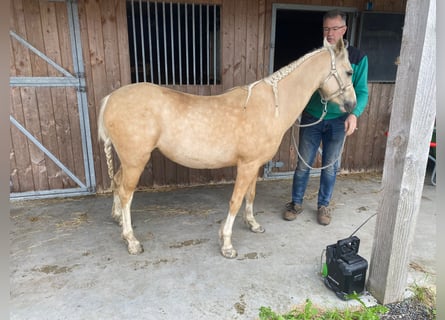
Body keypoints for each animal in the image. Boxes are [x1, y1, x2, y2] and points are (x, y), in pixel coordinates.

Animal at [99, 37, 356, 258]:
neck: (271, 105)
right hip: (136, 161)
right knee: (126, 193)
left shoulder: (254, 165)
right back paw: (132, 241)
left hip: (129, 160)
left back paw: (118, 220)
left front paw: (253, 224)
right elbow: (235, 200)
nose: (352, 105)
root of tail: (111, 98)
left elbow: (250, 195)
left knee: (118, 183)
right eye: (349, 71)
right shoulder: (246, 166)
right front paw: (227, 244)